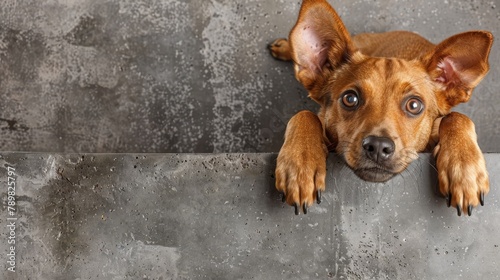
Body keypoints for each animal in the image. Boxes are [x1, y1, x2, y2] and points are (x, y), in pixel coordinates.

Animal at [270, 0, 492, 217]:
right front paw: (301, 165)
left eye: (414, 105)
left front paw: (464, 169)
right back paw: (284, 46)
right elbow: (304, 115)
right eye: (350, 98)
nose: (378, 147)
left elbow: (456, 117)